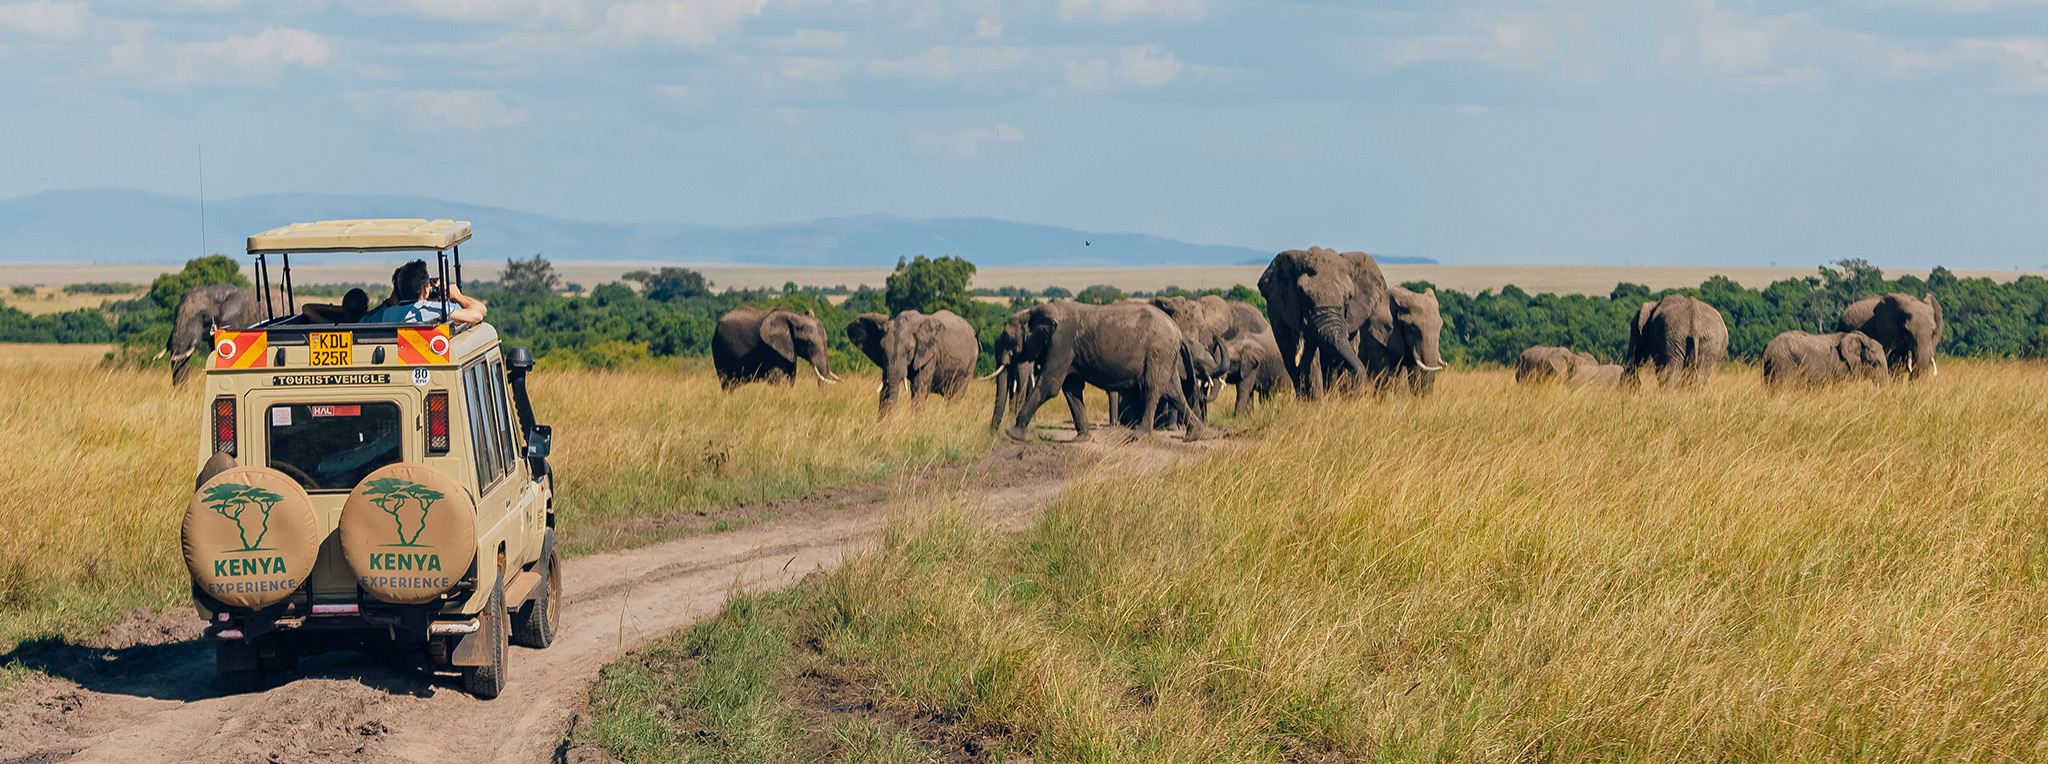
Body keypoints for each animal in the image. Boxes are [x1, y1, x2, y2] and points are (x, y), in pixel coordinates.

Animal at [712, 306, 842, 389]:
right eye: (808, 343)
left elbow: (791, 376)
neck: (795, 316)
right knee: (726, 381)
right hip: (718, 347)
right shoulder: (769, 347)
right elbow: (778, 377)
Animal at [845, 310, 978, 414]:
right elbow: (886, 388)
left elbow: (918, 389)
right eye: (881, 350)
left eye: (909, 351)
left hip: (970, 363)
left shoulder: (930, 355)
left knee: (955, 396)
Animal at [1004, 300, 1205, 443]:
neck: (1034, 312)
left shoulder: (1061, 343)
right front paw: (1082, 439)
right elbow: (1072, 389)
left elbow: (1049, 386)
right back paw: (1194, 435)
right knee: (1173, 392)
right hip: (1165, 355)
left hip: (1158, 351)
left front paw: (1014, 434)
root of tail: (1179, 332)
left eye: (1007, 338)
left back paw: (1138, 435)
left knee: (1152, 388)